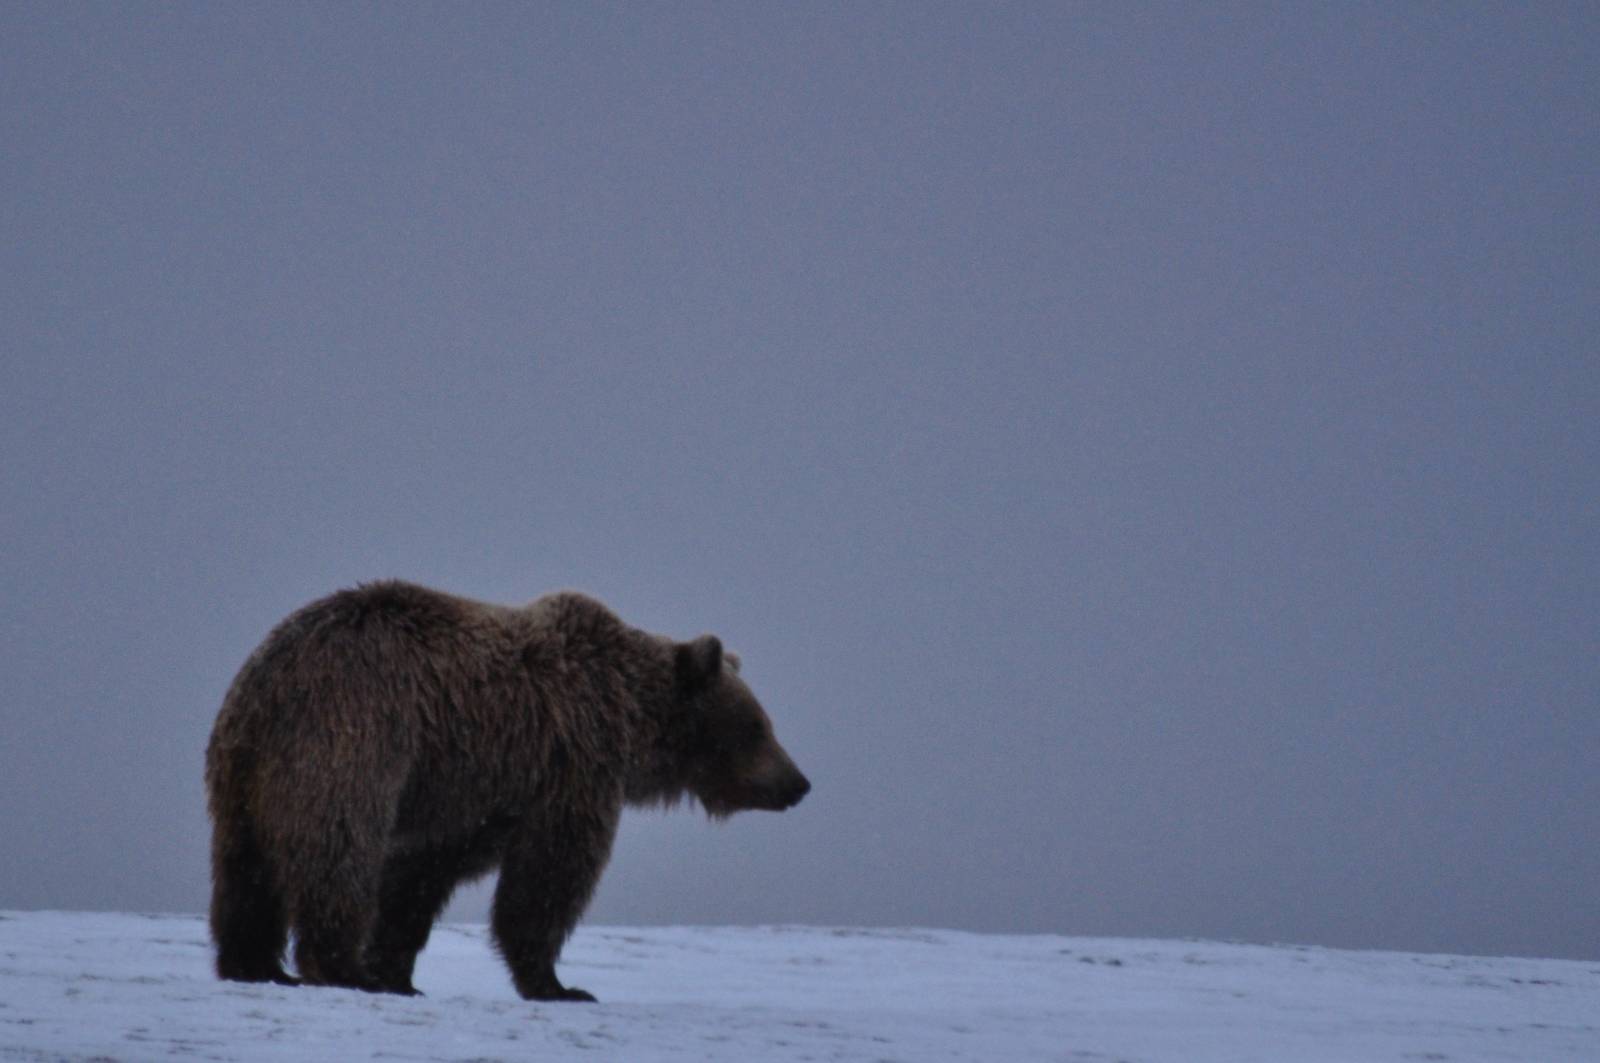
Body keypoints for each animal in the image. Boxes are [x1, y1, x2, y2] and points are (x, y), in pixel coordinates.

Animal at [204, 580, 809, 1001]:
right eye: (759, 726)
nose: (799, 783)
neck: (632, 721)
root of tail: (273, 676)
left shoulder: (483, 791)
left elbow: (422, 870)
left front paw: (398, 970)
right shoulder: (572, 765)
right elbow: (550, 873)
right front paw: (560, 985)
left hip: (244, 768)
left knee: (245, 867)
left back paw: (255, 964)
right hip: (353, 732)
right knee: (337, 851)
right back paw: (338, 967)